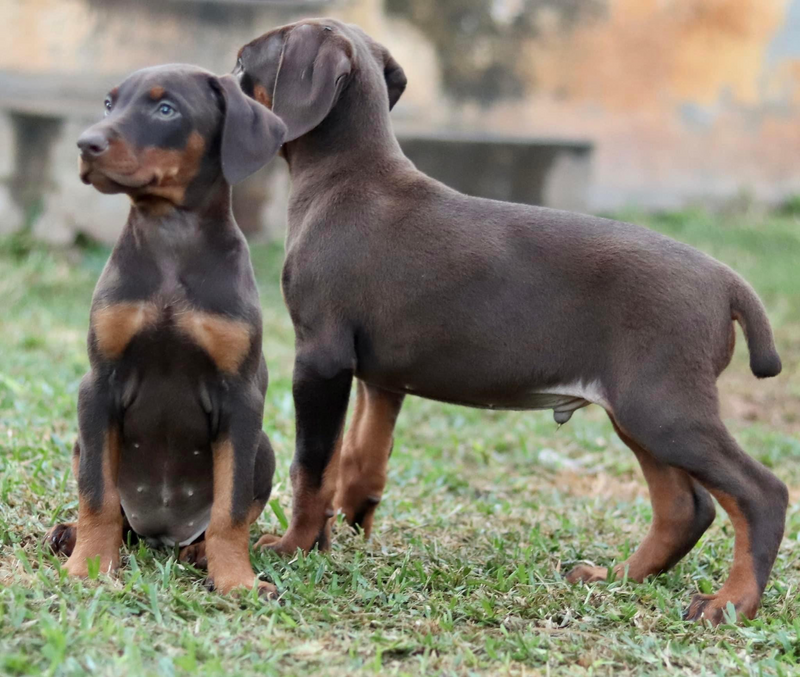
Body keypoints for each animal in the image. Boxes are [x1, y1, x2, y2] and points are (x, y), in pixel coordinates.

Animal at [43, 64, 288, 596]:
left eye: (165, 109)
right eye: (109, 103)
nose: (85, 143)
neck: (170, 236)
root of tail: (161, 532)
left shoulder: (241, 397)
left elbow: (231, 509)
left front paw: (237, 580)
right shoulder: (99, 384)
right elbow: (96, 492)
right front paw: (89, 566)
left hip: (264, 448)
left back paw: (199, 552)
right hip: (82, 440)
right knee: (114, 508)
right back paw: (69, 535)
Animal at [238, 19, 788, 624]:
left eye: (247, 58)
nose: (224, 73)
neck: (345, 177)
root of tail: (725, 280)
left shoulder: (321, 355)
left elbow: (311, 465)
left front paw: (294, 546)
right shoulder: (378, 374)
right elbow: (362, 452)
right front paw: (348, 522)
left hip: (664, 406)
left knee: (761, 493)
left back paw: (730, 602)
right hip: (640, 410)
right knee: (686, 507)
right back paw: (618, 576)